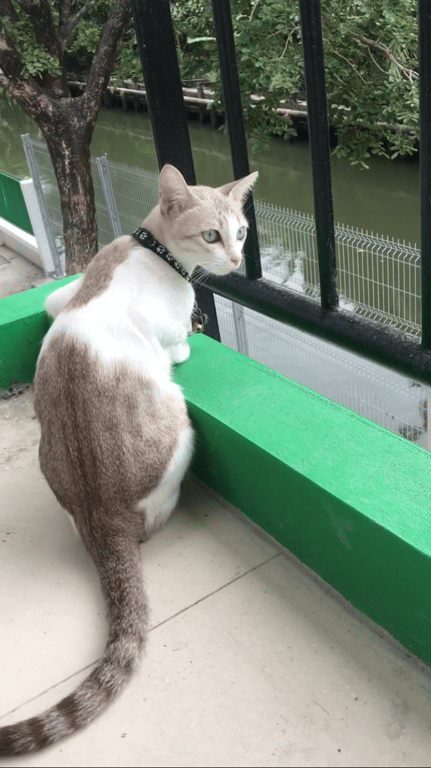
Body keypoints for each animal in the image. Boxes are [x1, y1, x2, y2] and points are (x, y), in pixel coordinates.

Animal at [0, 164, 258, 756]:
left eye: (241, 232)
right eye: (212, 235)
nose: (237, 261)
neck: (146, 248)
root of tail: (101, 518)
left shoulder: (63, 297)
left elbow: (53, 305)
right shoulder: (162, 329)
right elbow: (176, 341)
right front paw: (188, 342)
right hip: (180, 428)